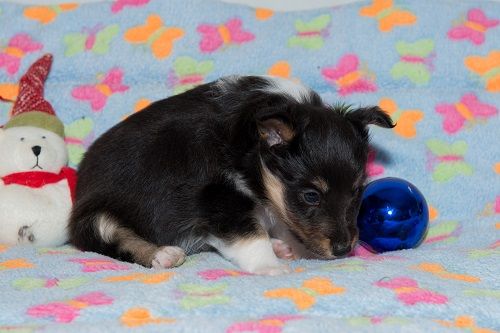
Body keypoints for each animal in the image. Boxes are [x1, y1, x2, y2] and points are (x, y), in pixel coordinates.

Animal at [68, 75, 392, 274]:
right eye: (311, 195)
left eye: (357, 191)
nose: (343, 249)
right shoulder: (217, 196)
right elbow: (249, 235)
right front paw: (270, 267)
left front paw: (288, 246)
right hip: (95, 216)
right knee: (113, 236)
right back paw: (163, 255)